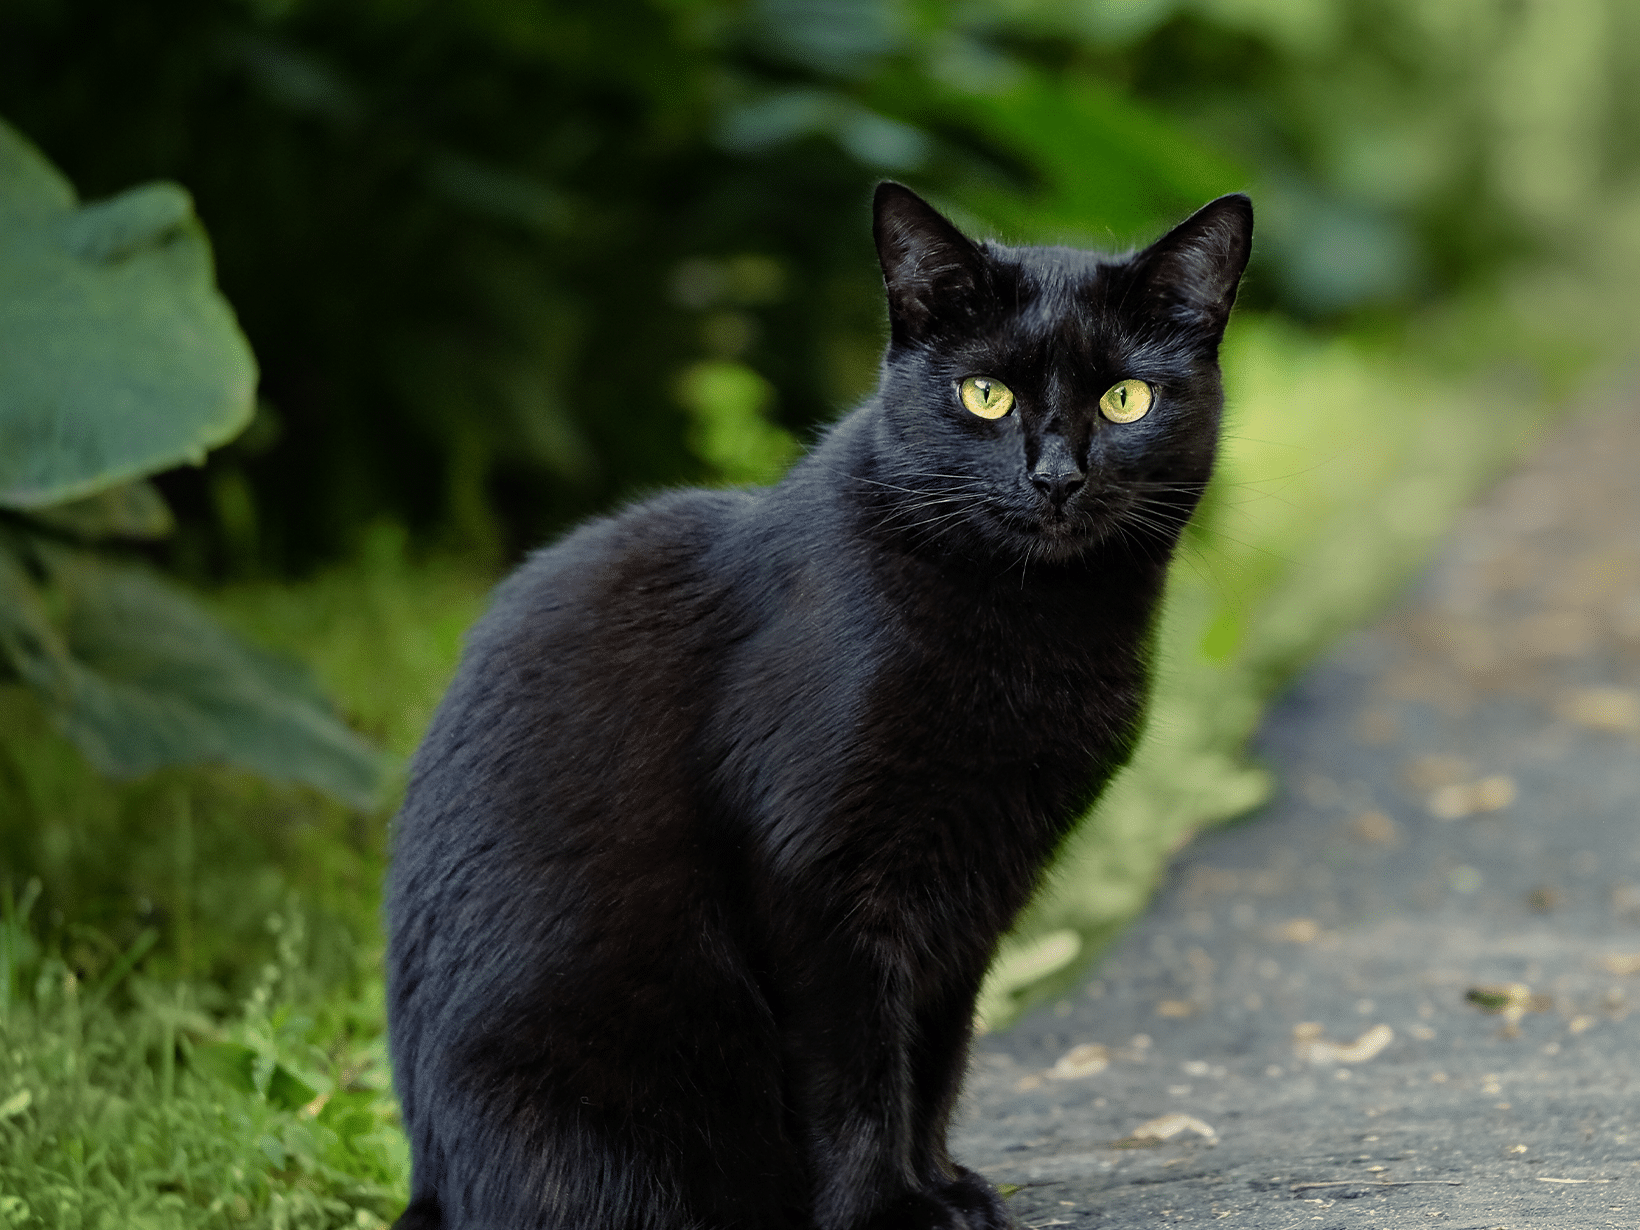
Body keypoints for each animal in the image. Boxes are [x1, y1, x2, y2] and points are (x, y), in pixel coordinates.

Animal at [387, 185, 1252, 1230]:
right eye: (985, 396)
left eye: (1126, 398)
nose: (1054, 476)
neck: (1033, 634)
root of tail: (431, 1183)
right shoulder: (815, 875)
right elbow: (856, 1070)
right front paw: (886, 1211)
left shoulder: (972, 889)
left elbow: (935, 1054)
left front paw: (942, 1185)